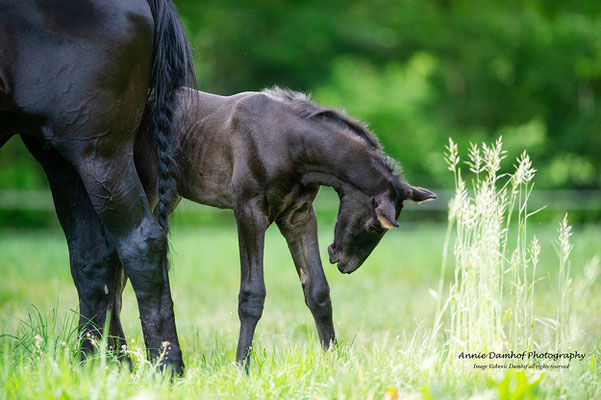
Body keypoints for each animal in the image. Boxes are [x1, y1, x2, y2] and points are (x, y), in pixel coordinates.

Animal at [0, 0, 196, 376]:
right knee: (94, 259)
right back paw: (97, 367)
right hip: (61, 158)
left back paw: (165, 368)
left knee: (140, 244)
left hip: (97, 151)